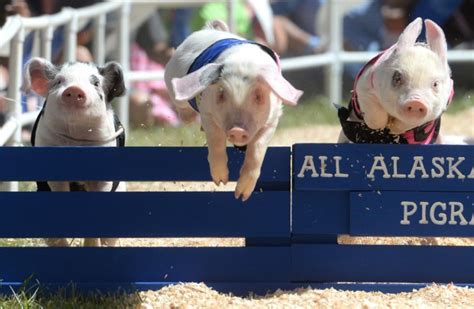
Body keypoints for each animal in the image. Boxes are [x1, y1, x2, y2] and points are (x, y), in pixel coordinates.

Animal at [165, 20, 302, 201]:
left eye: (258, 95)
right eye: (221, 93)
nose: (237, 130)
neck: (244, 63)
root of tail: (209, 30)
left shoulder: (272, 119)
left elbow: (257, 151)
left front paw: (241, 195)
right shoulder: (207, 112)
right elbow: (216, 142)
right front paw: (221, 181)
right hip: (173, 79)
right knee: (181, 103)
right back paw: (189, 119)